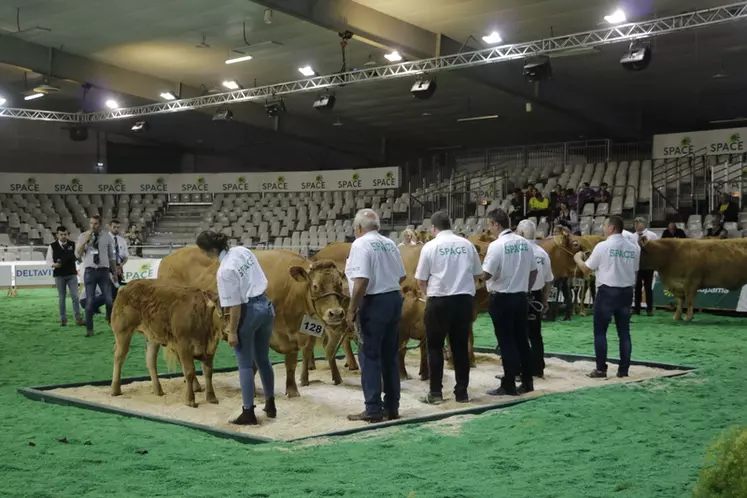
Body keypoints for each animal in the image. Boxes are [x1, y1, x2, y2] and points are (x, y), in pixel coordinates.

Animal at [109, 278, 228, 406]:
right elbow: (189, 371)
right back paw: (115, 389)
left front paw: (211, 398)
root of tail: (129, 285)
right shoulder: (183, 345)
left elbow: (208, 372)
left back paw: (158, 390)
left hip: (152, 337)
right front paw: (190, 400)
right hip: (122, 332)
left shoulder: (209, 350)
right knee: (119, 357)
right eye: (221, 310)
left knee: (150, 360)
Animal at [157, 246, 348, 396]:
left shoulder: (294, 335)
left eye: (340, 284)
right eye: (315, 286)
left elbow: (291, 364)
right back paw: (195, 386)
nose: (336, 313)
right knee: (181, 356)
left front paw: (292, 391)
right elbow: (255, 364)